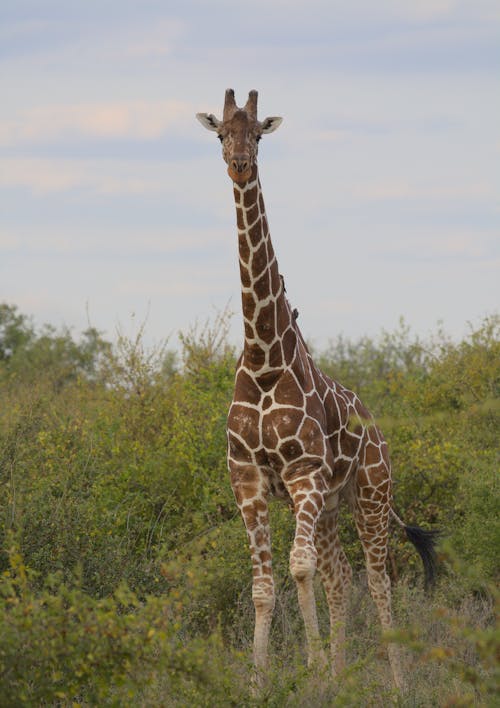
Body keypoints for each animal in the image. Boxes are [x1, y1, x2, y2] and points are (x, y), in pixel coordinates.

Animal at [195, 87, 438, 684]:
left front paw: (310, 666)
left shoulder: (303, 473)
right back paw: (341, 676)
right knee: (342, 576)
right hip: (330, 507)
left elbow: (298, 567)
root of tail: (377, 432)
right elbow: (264, 587)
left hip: (371, 495)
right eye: (221, 133)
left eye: (258, 133)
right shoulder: (248, 479)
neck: (264, 359)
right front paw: (265, 683)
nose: (239, 163)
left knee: (377, 579)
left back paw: (395, 683)